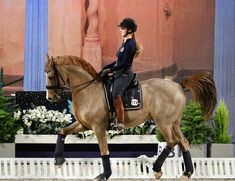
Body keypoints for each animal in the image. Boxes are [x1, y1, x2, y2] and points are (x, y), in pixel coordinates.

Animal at [44, 54, 217, 180]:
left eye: (51, 75)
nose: (50, 98)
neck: (88, 91)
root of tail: (178, 86)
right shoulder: (83, 124)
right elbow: (62, 132)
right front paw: (58, 161)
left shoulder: (98, 127)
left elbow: (104, 151)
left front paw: (104, 175)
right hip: (174, 123)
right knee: (183, 142)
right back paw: (187, 173)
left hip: (163, 123)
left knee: (172, 142)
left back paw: (157, 170)